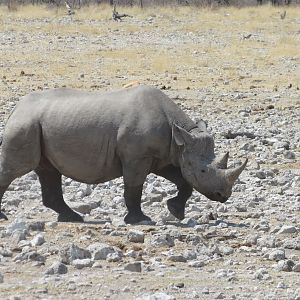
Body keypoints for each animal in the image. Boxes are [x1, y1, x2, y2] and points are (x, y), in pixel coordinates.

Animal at [0, 85, 247, 224]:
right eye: (203, 170)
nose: (224, 196)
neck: (180, 137)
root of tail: (16, 108)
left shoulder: (164, 157)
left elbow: (184, 182)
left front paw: (176, 212)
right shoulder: (137, 157)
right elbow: (134, 188)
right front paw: (140, 220)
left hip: (38, 125)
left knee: (48, 170)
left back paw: (72, 217)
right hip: (26, 125)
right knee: (17, 168)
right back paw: (5, 217)